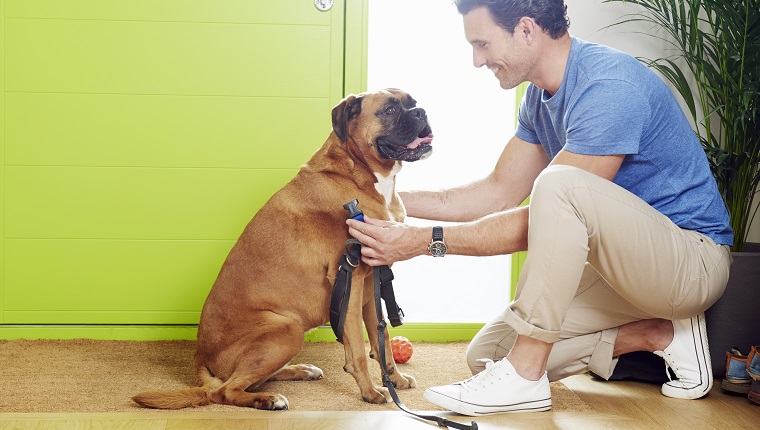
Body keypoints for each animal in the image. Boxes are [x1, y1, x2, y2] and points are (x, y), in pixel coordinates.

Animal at [131, 87, 434, 410]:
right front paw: (371, 391)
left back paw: (300, 370)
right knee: (225, 391)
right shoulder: (350, 283)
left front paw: (395, 380)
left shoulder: (370, 281)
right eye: (390, 110)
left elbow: (382, 338)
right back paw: (268, 399)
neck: (359, 171)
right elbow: (357, 351)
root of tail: (200, 355)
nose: (422, 112)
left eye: (413, 103)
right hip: (287, 328)